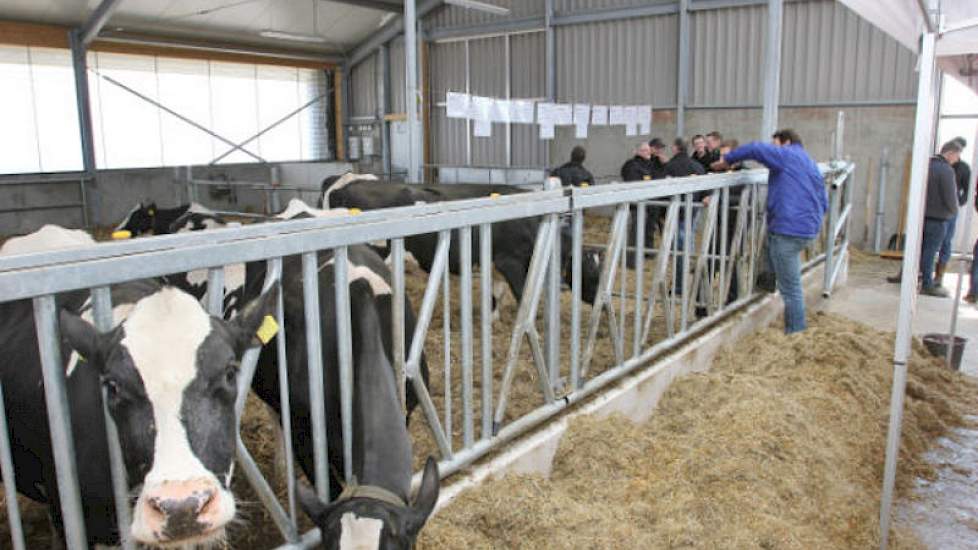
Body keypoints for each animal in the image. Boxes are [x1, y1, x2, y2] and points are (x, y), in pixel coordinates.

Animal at [320, 176, 600, 308]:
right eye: (592, 274)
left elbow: (495, 295)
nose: (601, 300)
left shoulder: (495, 265)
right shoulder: (509, 261)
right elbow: (523, 296)